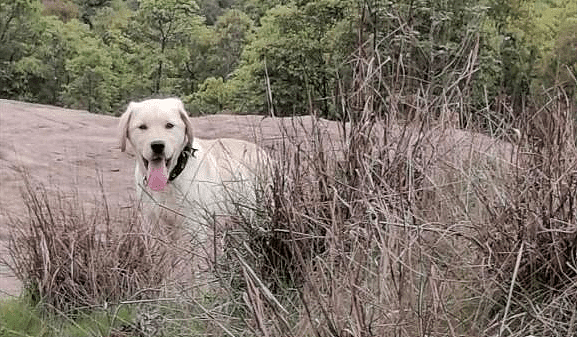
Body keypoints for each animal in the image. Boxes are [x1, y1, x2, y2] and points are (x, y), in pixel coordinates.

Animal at [118, 96, 270, 244]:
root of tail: (263, 151)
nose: (157, 145)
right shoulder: (151, 224)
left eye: (169, 125)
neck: (169, 182)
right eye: (142, 127)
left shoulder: (193, 226)